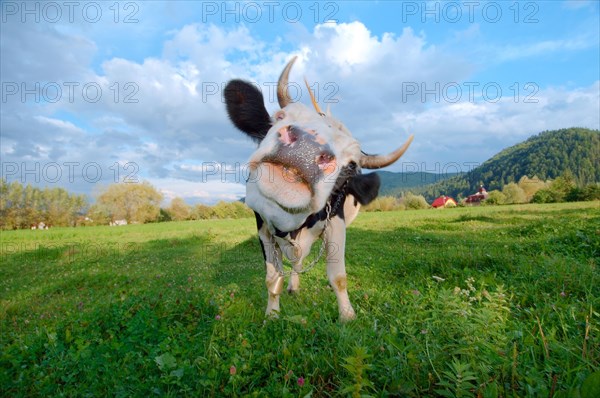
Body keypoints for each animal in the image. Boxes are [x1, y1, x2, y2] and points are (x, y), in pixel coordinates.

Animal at [225, 57, 412, 322]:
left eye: (351, 165)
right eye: (279, 116)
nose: (306, 149)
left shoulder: (337, 223)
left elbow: (338, 277)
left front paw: (347, 316)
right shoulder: (262, 226)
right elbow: (272, 278)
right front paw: (272, 314)